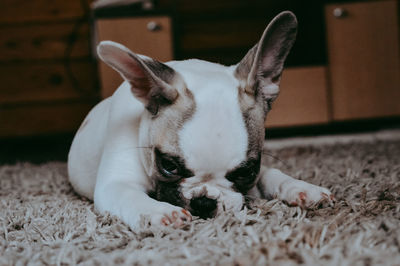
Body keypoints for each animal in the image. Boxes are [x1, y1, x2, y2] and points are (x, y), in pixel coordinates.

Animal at [68, 11, 334, 230]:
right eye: (168, 165)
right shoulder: (116, 184)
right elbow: (131, 197)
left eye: (246, 172)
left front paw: (301, 188)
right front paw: (161, 212)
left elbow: (269, 174)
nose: (204, 201)